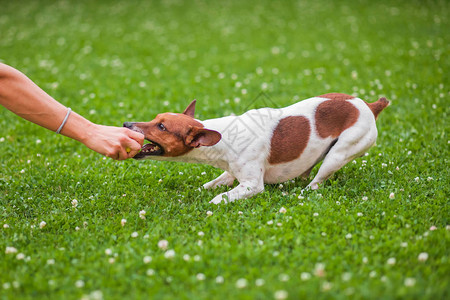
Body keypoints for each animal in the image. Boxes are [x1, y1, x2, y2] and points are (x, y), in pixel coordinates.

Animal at [125, 93, 388, 204]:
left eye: (161, 126)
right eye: (156, 118)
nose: (126, 124)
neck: (223, 137)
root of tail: (369, 105)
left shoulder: (252, 185)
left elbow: (219, 199)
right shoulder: (229, 173)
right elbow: (211, 185)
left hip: (339, 153)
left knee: (317, 182)